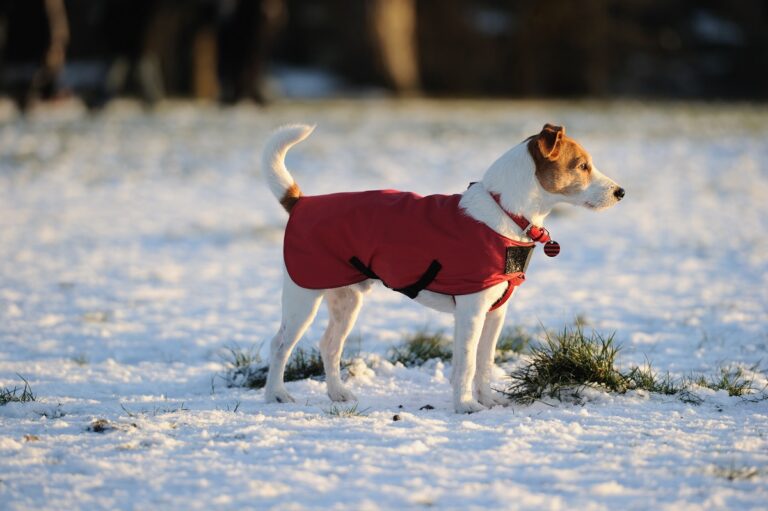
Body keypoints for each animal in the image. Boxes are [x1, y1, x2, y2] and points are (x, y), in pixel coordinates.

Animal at [260, 125, 620, 416]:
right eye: (582, 166)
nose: (621, 192)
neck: (504, 213)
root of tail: (301, 202)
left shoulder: (495, 312)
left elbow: (485, 362)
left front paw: (488, 400)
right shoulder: (471, 310)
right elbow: (466, 363)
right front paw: (466, 406)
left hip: (347, 299)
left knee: (329, 345)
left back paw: (337, 393)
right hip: (303, 297)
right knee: (279, 344)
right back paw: (276, 395)